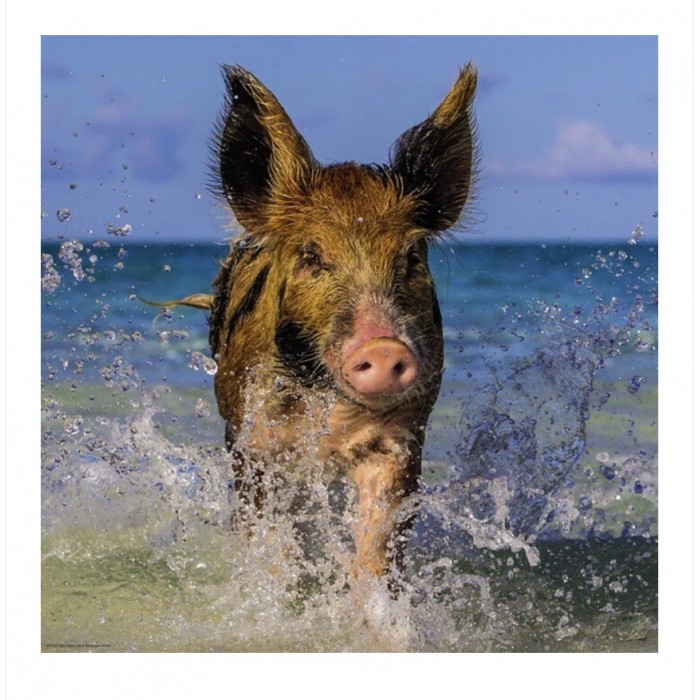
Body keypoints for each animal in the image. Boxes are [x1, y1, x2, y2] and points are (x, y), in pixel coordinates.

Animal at [162, 64, 478, 590]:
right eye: (312, 256)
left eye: (411, 256)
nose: (385, 346)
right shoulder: (257, 442)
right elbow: (270, 536)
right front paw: (277, 592)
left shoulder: (400, 438)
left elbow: (378, 544)